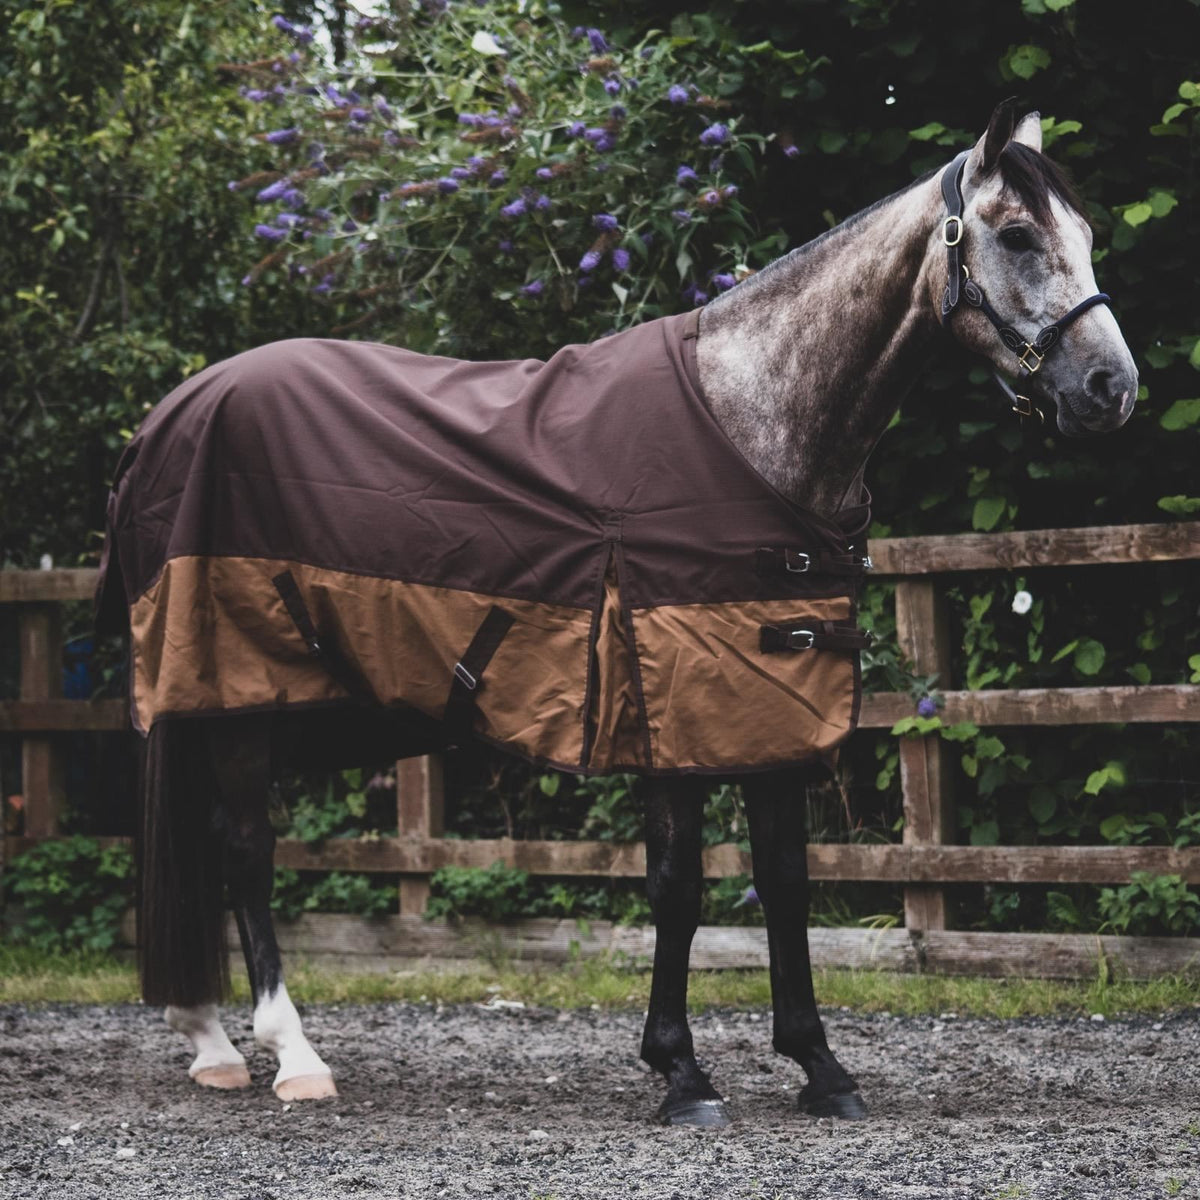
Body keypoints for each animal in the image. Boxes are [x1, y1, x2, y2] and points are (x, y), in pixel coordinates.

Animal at [96, 100, 1137, 1126]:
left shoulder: (773, 702)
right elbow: (678, 886)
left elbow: (786, 881)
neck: (751, 424)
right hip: (239, 693)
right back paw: (291, 1054)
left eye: (1088, 236)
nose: (1112, 389)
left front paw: (819, 1066)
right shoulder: (669, 705)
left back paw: (210, 1043)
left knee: (199, 843)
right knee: (243, 853)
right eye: (1017, 234)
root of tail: (166, 419)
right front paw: (680, 1072)